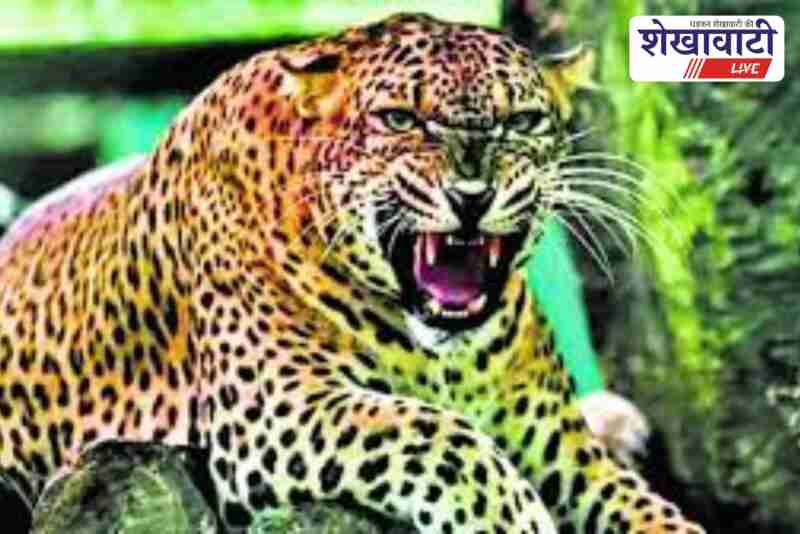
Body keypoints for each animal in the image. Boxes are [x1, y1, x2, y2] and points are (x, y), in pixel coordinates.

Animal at [0, 13, 705, 534]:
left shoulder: (566, 452)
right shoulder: (278, 408)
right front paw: (521, 522)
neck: (452, 359)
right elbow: (445, 439)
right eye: (400, 119)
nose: (472, 194)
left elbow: (648, 510)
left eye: (522, 121)